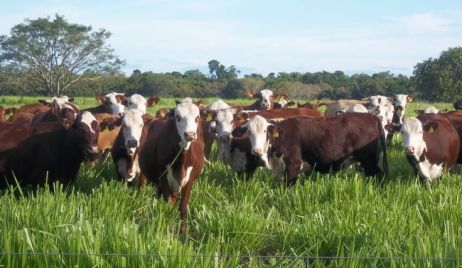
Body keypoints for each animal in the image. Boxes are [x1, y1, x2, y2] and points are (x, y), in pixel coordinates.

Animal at [139, 97, 204, 231]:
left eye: (197, 117)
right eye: (177, 117)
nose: (190, 134)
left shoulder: (190, 180)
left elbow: (183, 206)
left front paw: (184, 231)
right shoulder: (163, 177)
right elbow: (169, 203)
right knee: (158, 195)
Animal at [233, 112, 388, 184]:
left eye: (265, 131)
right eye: (249, 132)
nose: (256, 151)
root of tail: (372, 116)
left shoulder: (293, 165)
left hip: (369, 161)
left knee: (379, 176)